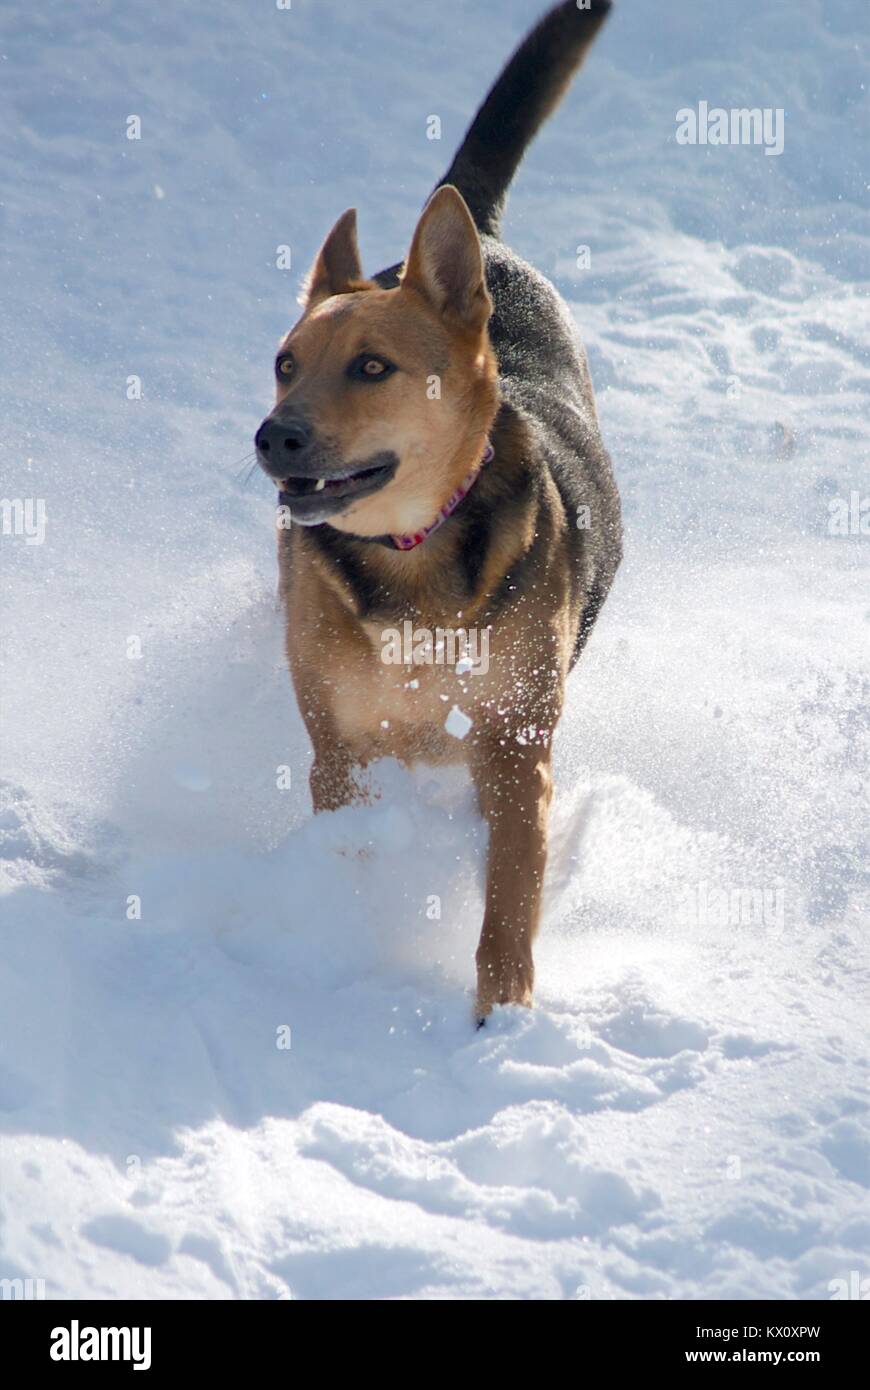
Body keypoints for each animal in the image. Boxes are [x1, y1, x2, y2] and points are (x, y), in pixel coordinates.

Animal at [254, 0, 619, 1023]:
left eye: (372, 367)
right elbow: (351, 835)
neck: (411, 549)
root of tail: (480, 237)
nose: (272, 437)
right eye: (285, 364)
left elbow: (511, 891)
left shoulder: (515, 750)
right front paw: (347, 923)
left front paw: (502, 1017)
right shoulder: (342, 749)